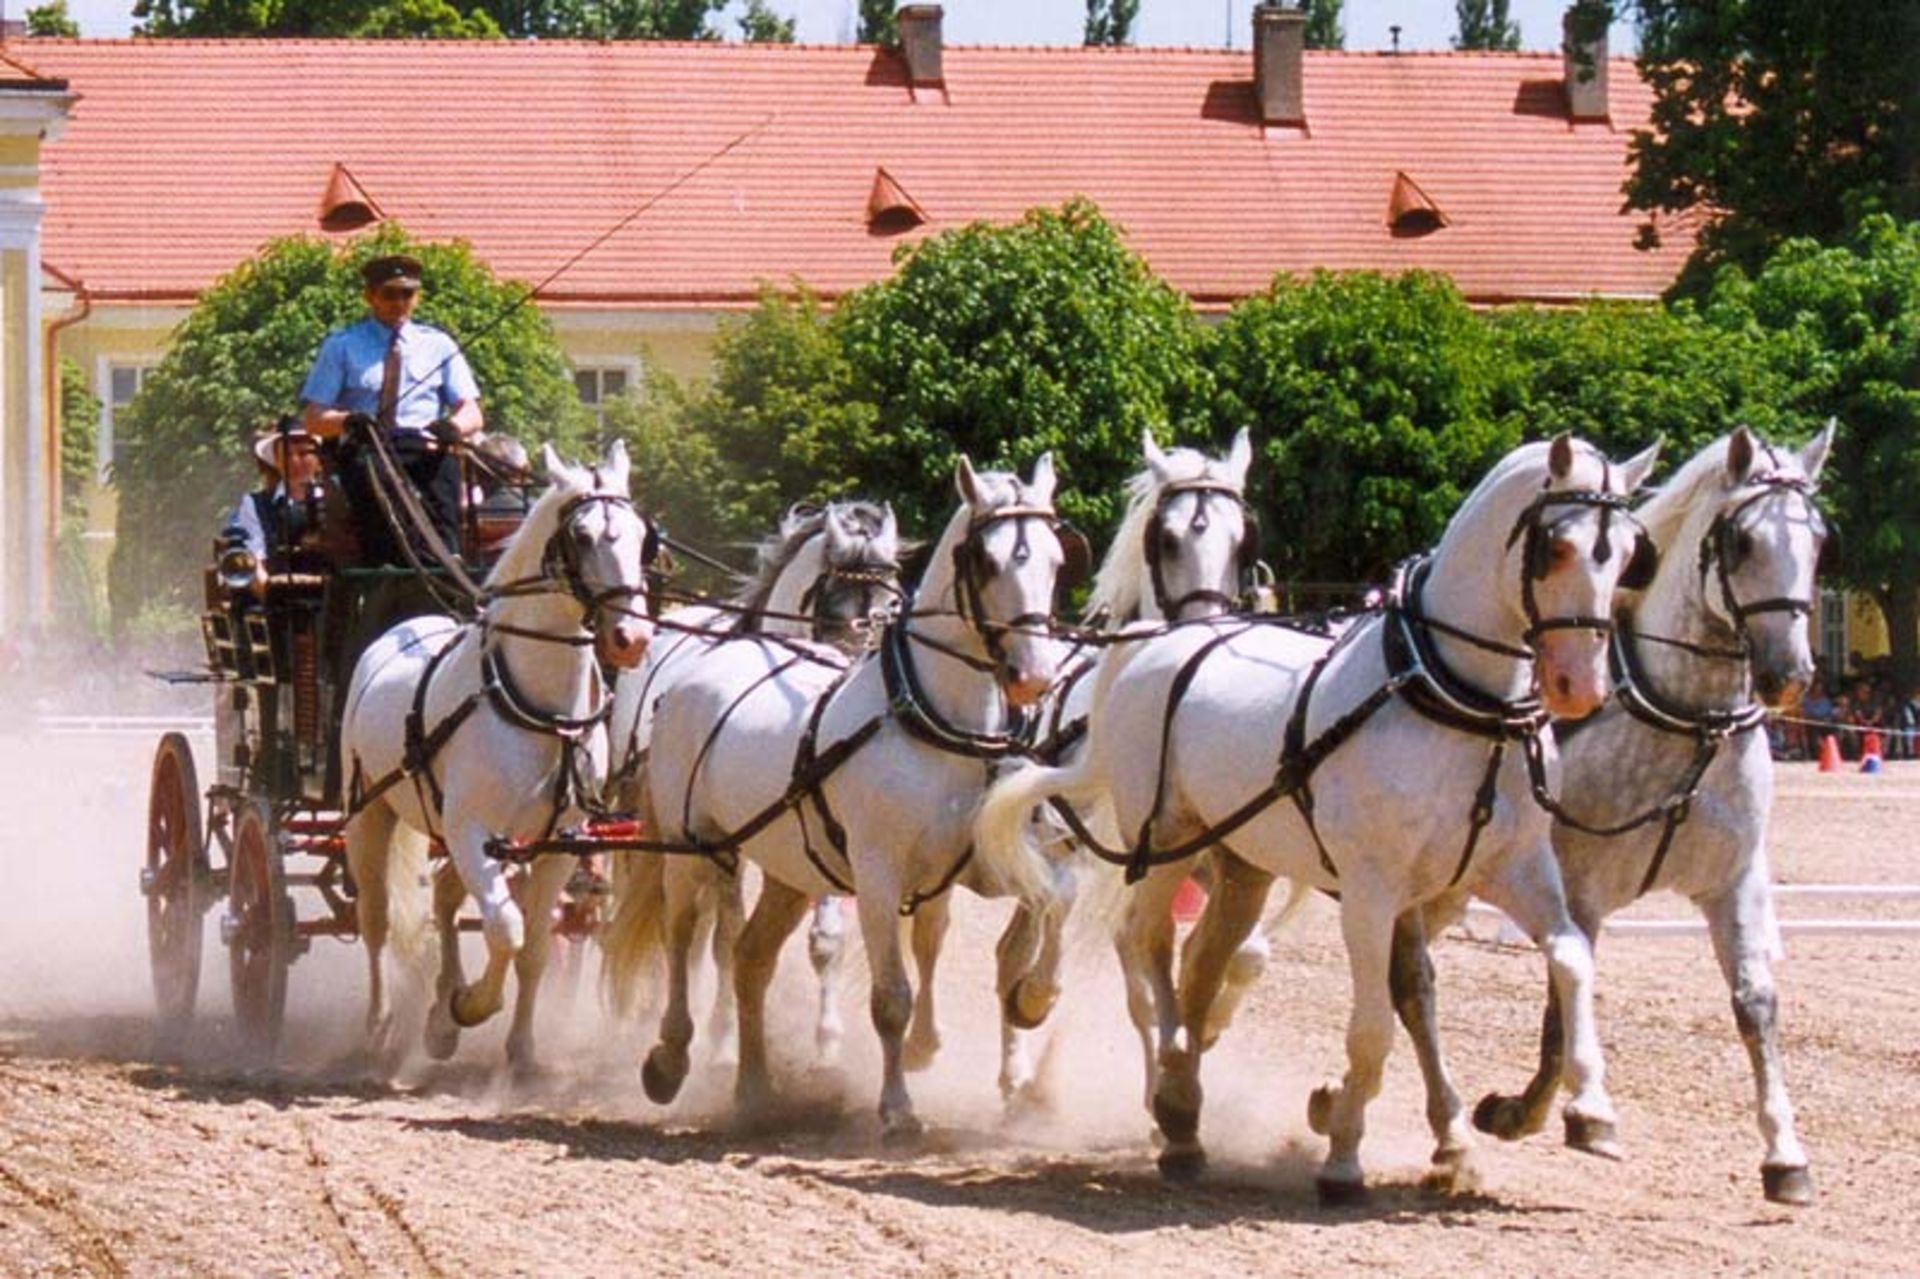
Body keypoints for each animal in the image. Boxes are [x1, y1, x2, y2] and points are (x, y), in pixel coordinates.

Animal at [351, 437, 660, 1067]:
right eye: (581, 536)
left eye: (644, 535)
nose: (631, 638)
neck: (542, 711)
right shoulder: (471, 828)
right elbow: (505, 929)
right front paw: (470, 1006)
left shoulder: (558, 842)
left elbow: (534, 946)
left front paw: (518, 1047)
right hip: (371, 812)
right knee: (375, 919)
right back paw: (382, 1021)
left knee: (446, 898)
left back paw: (438, 1015)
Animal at [602, 503, 902, 1060]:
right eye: (832, 606)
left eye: (890, 606)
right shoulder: (723, 842)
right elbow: (729, 937)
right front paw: (723, 1035)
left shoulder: (822, 829)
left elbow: (825, 941)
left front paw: (828, 1038)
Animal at [983, 430, 1658, 1198]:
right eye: (1558, 546)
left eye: (1628, 554)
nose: (1581, 685)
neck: (1453, 698)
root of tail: (1156, 644)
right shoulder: (1370, 891)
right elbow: (1373, 1024)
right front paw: (1343, 1152)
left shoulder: (1511, 870)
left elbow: (1566, 959)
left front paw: (1585, 1113)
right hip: (1165, 842)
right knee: (1143, 943)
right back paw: (1168, 1096)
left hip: (1242, 865)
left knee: (1199, 964)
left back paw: (1181, 1103)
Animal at [1474, 422, 1835, 1198]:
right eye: (1742, 542)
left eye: (1820, 540)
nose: (1789, 675)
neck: (1687, 719)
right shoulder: (1579, 886)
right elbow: (1566, 997)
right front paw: (1559, 1108)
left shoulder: (1734, 885)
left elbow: (1756, 1005)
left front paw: (1785, 1153)